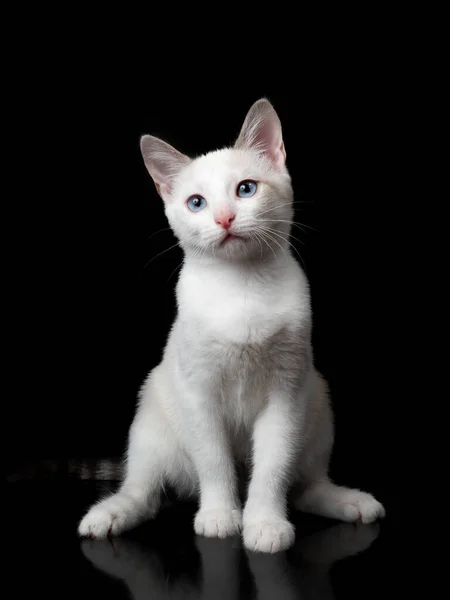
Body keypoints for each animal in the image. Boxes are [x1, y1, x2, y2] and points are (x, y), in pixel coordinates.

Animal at [76, 98, 384, 552]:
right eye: (196, 203)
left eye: (246, 189)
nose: (223, 218)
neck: (242, 289)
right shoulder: (198, 392)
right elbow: (214, 461)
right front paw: (221, 516)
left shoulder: (286, 391)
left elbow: (272, 465)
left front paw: (264, 523)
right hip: (151, 413)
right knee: (144, 491)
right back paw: (108, 515)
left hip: (318, 399)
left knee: (306, 487)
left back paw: (351, 502)